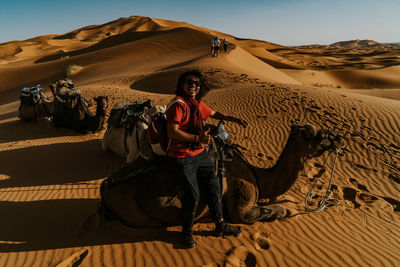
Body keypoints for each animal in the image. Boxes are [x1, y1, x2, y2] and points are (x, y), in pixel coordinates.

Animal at [98, 124, 340, 228]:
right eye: (314, 134)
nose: (337, 137)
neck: (258, 176)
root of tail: (105, 185)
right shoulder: (241, 205)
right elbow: (274, 210)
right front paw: (290, 209)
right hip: (134, 211)